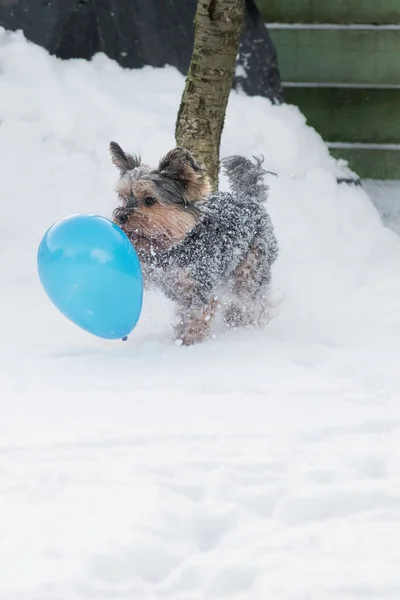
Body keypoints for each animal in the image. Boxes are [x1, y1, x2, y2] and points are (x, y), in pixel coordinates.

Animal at [109, 142, 278, 344]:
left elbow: (196, 316)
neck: (171, 247)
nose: (121, 216)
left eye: (149, 200)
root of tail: (250, 198)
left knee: (250, 298)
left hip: (251, 268)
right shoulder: (151, 270)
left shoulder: (199, 287)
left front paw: (188, 342)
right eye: (124, 197)